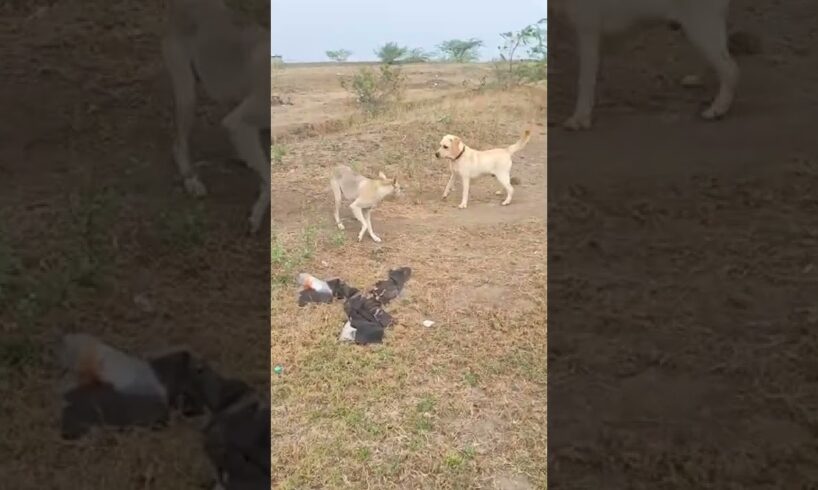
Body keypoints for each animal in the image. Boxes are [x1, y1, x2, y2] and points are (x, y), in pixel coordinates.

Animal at [162, 0, 270, 234]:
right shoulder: (239, 123)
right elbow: (269, 176)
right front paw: (257, 215)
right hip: (187, 92)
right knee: (178, 145)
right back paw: (191, 180)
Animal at [552, 0, 736, 130]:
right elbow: (595, 76)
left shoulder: (588, 33)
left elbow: (585, 81)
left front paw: (580, 118)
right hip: (701, 30)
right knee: (720, 60)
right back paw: (698, 81)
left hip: (701, 27)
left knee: (730, 69)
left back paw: (718, 109)